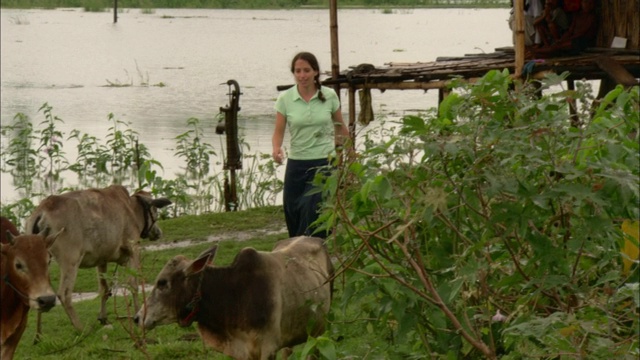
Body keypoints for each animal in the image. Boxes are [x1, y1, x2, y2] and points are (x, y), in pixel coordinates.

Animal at [24, 184, 171, 336]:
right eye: (155, 210)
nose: (158, 232)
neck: (131, 208)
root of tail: (42, 210)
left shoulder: (102, 261)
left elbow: (104, 289)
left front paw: (103, 318)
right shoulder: (133, 250)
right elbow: (133, 284)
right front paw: (137, 315)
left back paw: (38, 335)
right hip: (71, 261)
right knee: (64, 294)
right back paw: (81, 328)